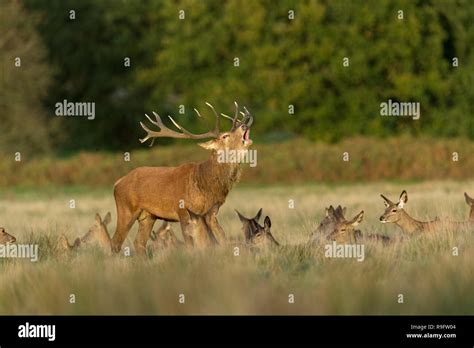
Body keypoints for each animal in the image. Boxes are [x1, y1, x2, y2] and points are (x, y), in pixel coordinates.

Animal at [111, 101, 254, 256]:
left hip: (148, 216)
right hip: (126, 209)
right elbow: (191, 245)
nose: (244, 125)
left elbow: (220, 240)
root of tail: (117, 182)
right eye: (225, 136)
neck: (205, 185)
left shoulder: (211, 213)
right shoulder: (183, 211)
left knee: (139, 243)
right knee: (115, 242)